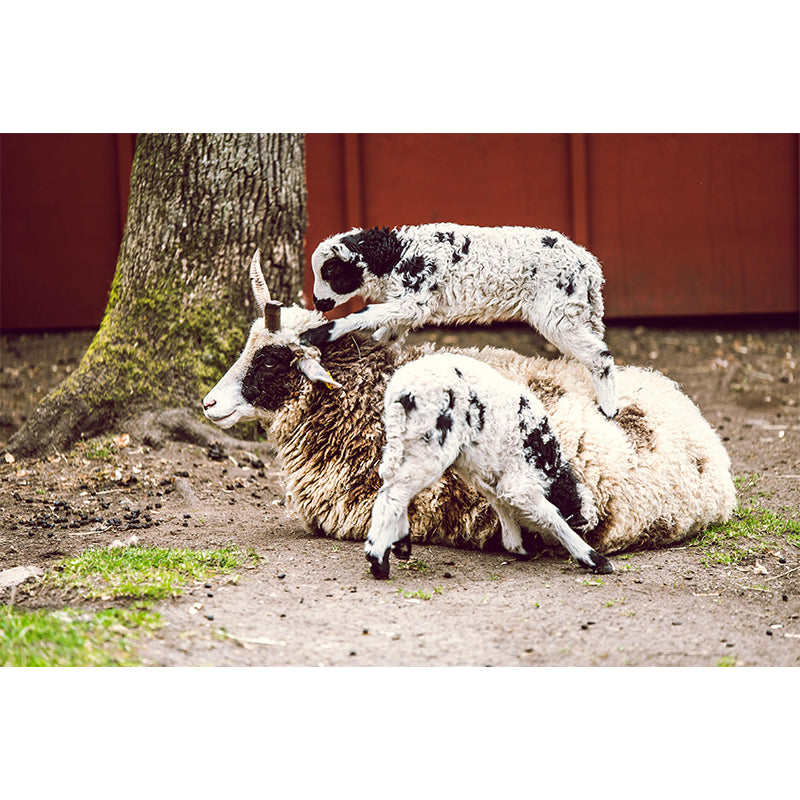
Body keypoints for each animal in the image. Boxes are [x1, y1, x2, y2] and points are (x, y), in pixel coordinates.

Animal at [301, 223, 620, 418]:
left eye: (330, 271)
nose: (318, 302)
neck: (396, 255)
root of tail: (589, 266)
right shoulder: (407, 307)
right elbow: (384, 335)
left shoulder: (415, 300)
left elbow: (364, 313)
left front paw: (317, 334)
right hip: (579, 311)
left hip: (557, 312)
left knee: (600, 355)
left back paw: (609, 410)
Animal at [364, 352, 612, 579]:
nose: (551, 550)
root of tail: (401, 393)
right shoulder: (519, 481)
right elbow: (551, 515)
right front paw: (593, 559)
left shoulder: (483, 475)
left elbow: (501, 503)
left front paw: (517, 545)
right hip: (430, 447)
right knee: (394, 493)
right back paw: (378, 561)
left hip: (405, 443)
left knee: (394, 487)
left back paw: (398, 546)